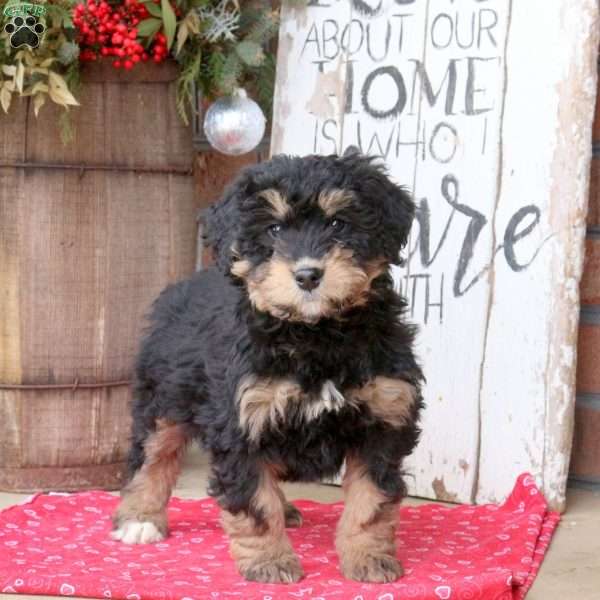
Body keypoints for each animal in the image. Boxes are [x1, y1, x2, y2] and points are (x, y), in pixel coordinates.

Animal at [110, 152, 424, 584]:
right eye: (273, 229)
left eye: (338, 223)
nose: (308, 275)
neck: (316, 333)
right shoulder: (240, 420)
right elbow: (254, 502)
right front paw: (269, 562)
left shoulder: (384, 416)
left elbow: (371, 500)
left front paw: (369, 557)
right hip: (165, 394)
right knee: (153, 454)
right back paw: (140, 518)